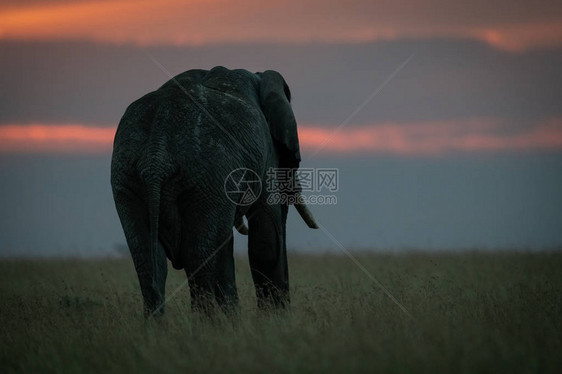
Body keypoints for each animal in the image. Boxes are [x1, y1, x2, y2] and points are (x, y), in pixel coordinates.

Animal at [111, 65, 318, 318]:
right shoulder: (264, 156)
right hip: (207, 172)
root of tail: (157, 153)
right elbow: (267, 238)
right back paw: (209, 325)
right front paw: (274, 322)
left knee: (148, 259)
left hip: (128, 175)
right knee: (198, 255)